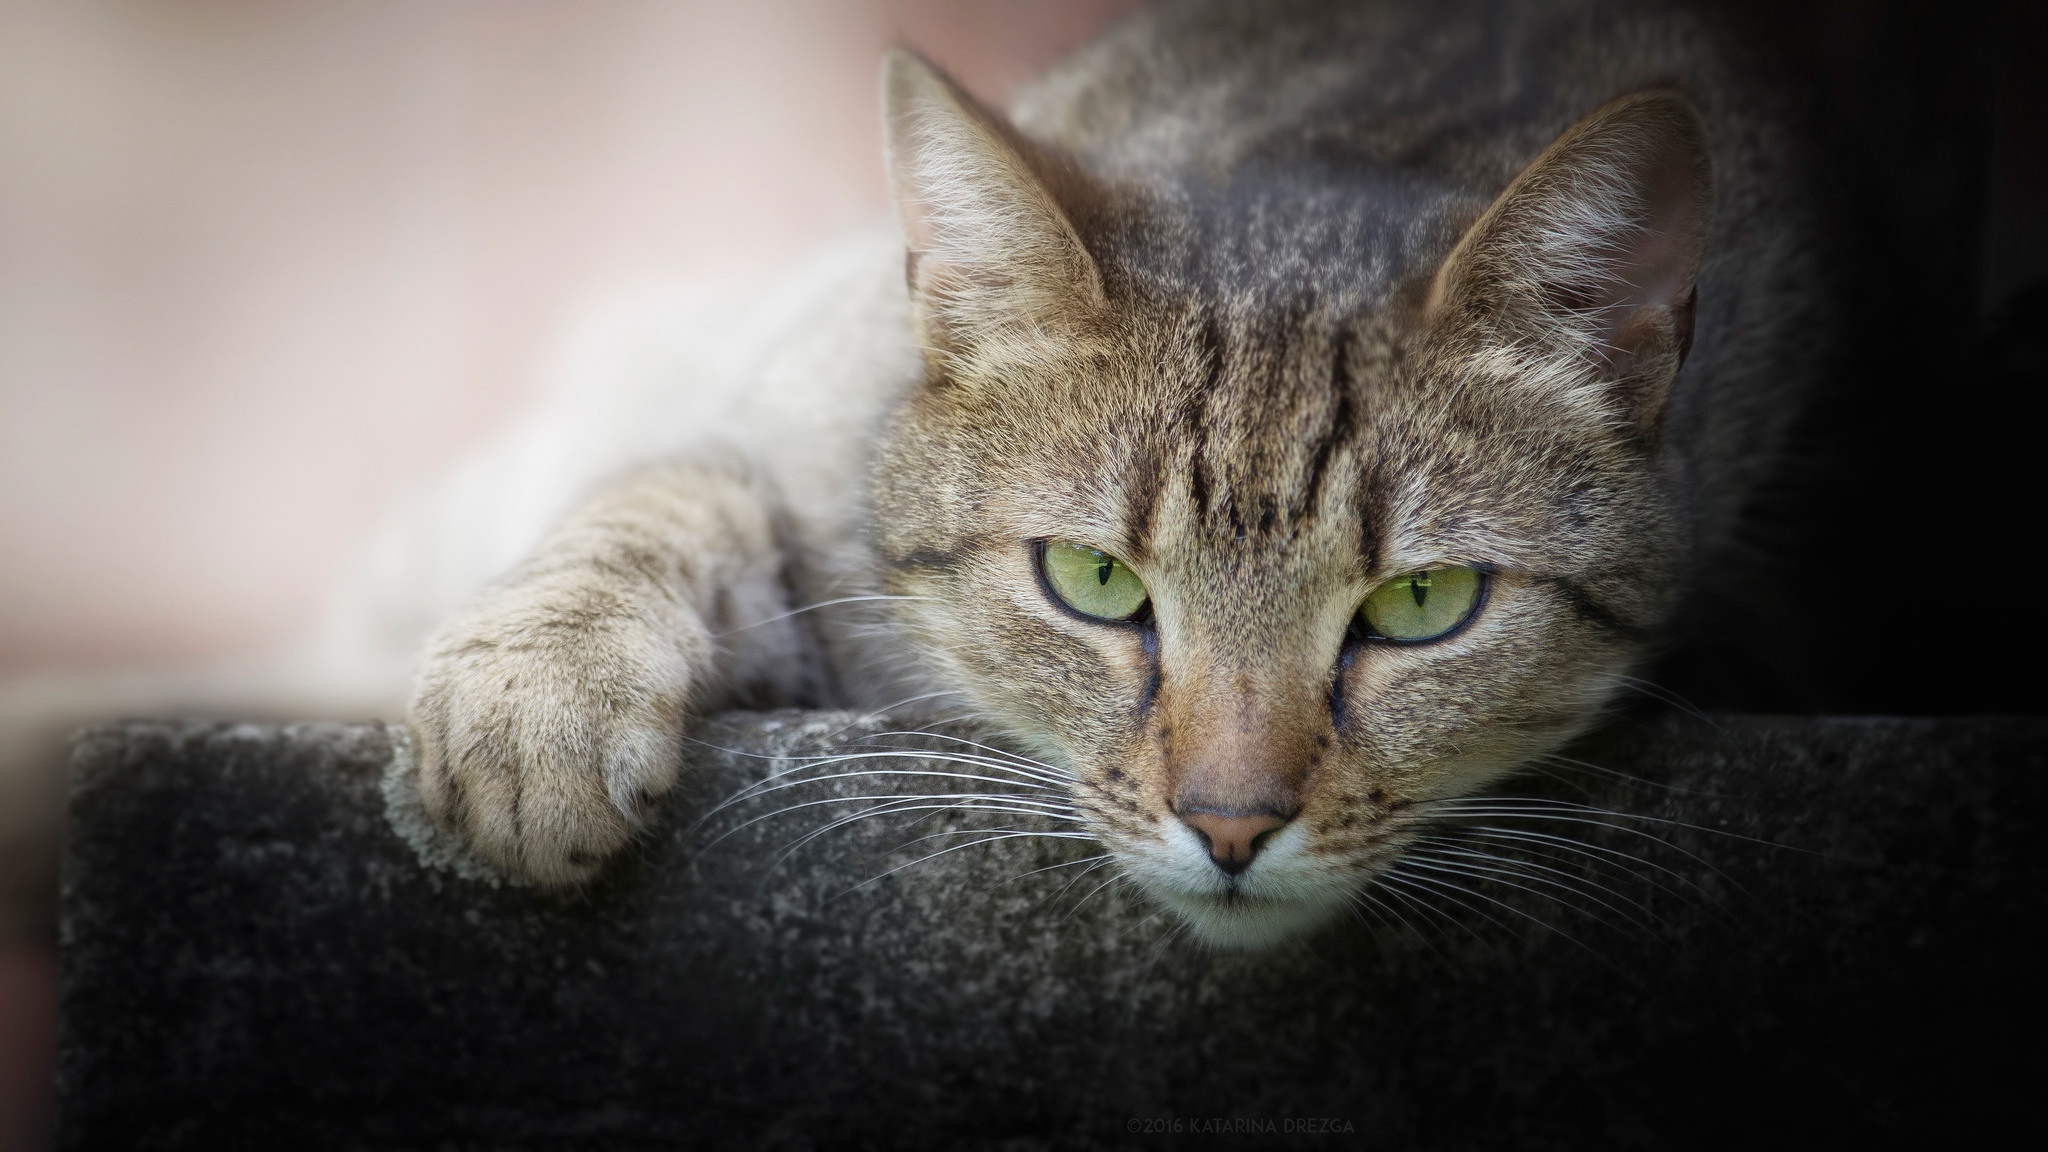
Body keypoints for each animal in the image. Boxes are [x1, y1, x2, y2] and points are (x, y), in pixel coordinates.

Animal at [399, 0, 1826, 947]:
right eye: (1091, 580)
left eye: (1422, 606)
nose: (1232, 827)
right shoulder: (774, 419)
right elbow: (661, 497)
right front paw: (531, 695)